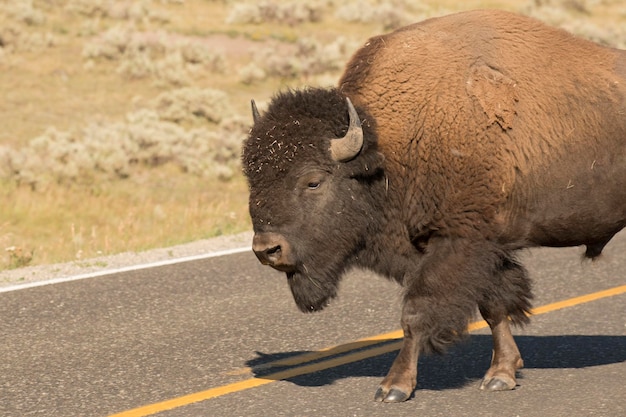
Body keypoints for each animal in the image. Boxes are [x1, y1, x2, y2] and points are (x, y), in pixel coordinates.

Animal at [240, 8, 624, 400]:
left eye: (313, 181)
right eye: (251, 177)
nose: (267, 249)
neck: (387, 148)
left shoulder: (459, 243)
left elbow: (417, 312)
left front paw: (394, 386)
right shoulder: (478, 250)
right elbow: (493, 306)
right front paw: (502, 372)